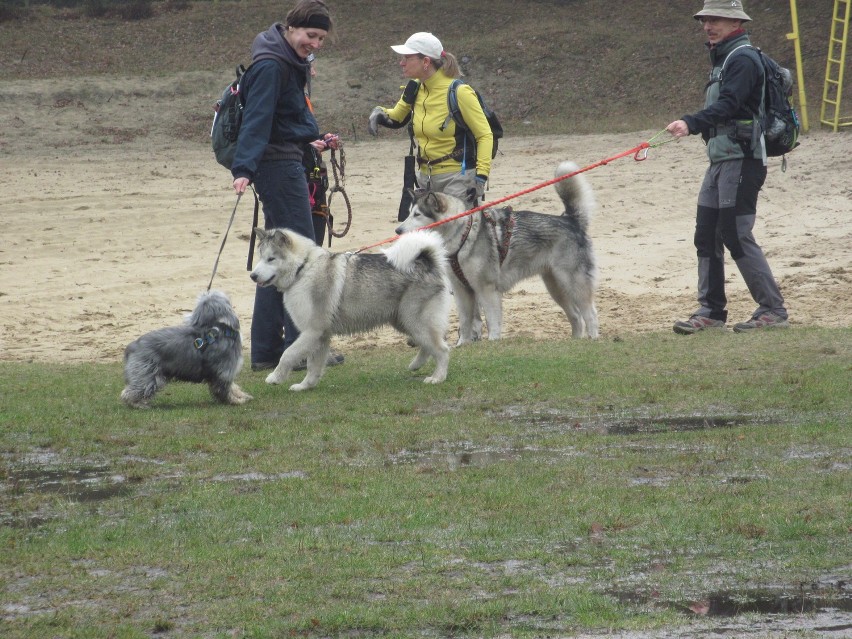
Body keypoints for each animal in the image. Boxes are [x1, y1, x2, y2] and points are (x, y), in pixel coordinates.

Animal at [120, 292, 253, 410]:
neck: (221, 330)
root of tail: (133, 345)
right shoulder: (224, 372)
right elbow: (226, 390)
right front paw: (236, 400)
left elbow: (233, 387)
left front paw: (241, 395)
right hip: (147, 375)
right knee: (129, 392)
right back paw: (139, 404)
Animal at [248, 230, 452, 390]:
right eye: (260, 258)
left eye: (271, 259)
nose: (253, 276)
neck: (303, 268)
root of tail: (427, 261)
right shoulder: (320, 337)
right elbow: (313, 367)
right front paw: (305, 386)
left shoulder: (312, 332)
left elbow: (287, 354)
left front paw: (275, 377)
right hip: (405, 322)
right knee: (428, 347)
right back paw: (416, 365)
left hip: (414, 321)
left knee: (442, 350)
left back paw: (437, 378)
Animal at [394, 160, 600, 344]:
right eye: (409, 212)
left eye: (417, 215)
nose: (398, 231)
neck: (461, 234)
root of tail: (570, 220)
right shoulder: (461, 291)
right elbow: (466, 322)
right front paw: (463, 344)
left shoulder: (486, 288)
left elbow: (492, 319)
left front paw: (493, 341)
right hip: (555, 286)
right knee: (576, 315)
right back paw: (575, 341)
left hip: (573, 281)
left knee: (589, 313)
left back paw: (593, 338)